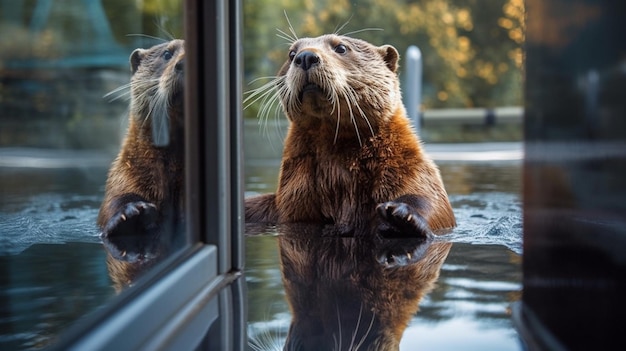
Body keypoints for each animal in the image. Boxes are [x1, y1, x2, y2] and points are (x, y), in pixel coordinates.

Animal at [244, 35, 454, 239]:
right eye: (291, 53)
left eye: (341, 48)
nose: (305, 57)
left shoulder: (409, 167)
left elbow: (434, 203)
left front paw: (400, 213)